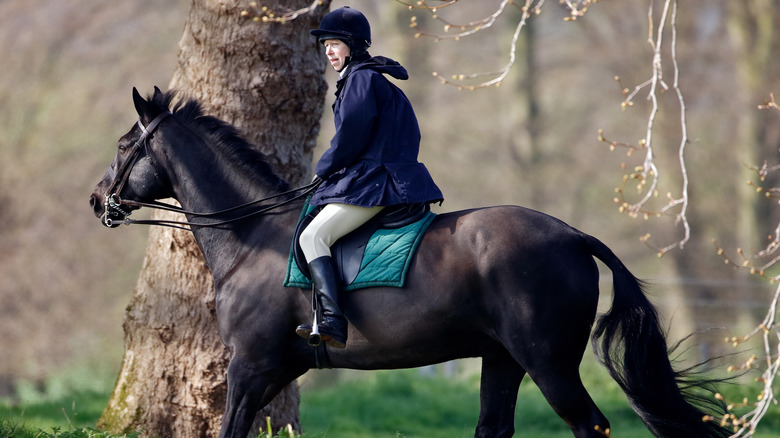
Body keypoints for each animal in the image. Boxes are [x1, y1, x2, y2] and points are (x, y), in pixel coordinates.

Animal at [91, 86, 732, 438]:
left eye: (124, 146)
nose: (98, 200)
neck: (252, 238)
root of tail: (575, 236)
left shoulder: (250, 365)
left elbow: (230, 430)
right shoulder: (276, 367)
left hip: (548, 362)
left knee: (587, 424)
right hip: (503, 359)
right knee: (494, 426)